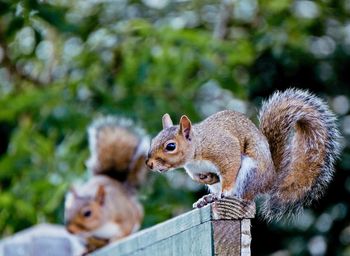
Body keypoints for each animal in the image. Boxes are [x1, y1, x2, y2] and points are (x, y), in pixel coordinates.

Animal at [64, 116, 149, 252]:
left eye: (87, 213)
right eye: (67, 209)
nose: (70, 230)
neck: (100, 228)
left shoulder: (125, 216)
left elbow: (126, 228)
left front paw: (116, 239)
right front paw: (87, 249)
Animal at [146, 88, 342, 220]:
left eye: (170, 146)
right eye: (153, 139)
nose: (149, 164)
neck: (196, 152)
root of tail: (271, 178)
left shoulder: (224, 150)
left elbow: (230, 169)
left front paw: (224, 190)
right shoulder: (194, 170)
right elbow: (199, 177)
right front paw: (207, 178)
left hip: (250, 173)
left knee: (243, 195)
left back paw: (224, 196)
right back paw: (208, 198)